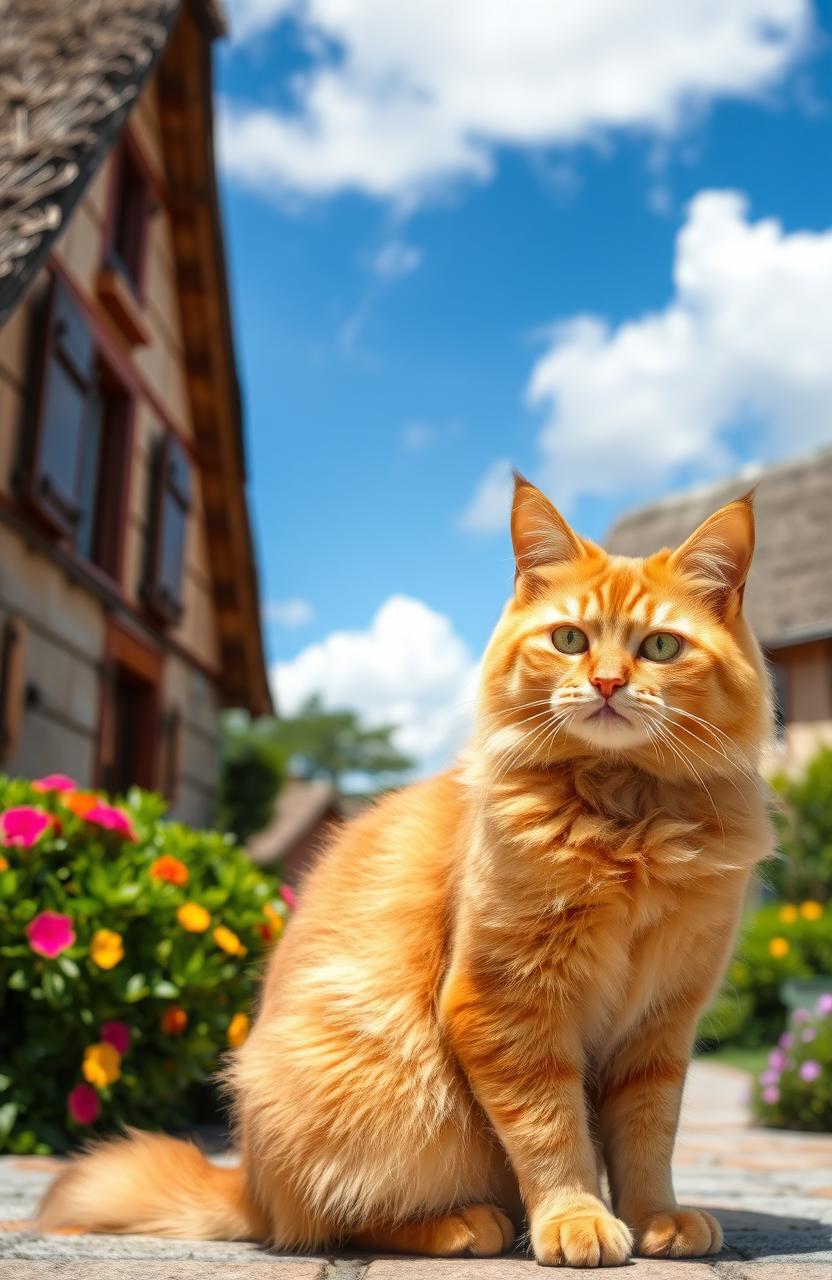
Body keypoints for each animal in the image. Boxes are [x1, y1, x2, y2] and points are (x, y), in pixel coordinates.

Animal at [38, 481, 768, 1269]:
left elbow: (646, 1139)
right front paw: (576, 1220)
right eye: (569, 640)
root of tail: (249, 1185)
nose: (605, 683)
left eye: (660, 647)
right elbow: (553, 1133)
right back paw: (468, 1225)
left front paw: (658, 1218)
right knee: (336, 1223)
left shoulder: (660, 1026)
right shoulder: (508, 1006)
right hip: (391, 1106)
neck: (625, 822)